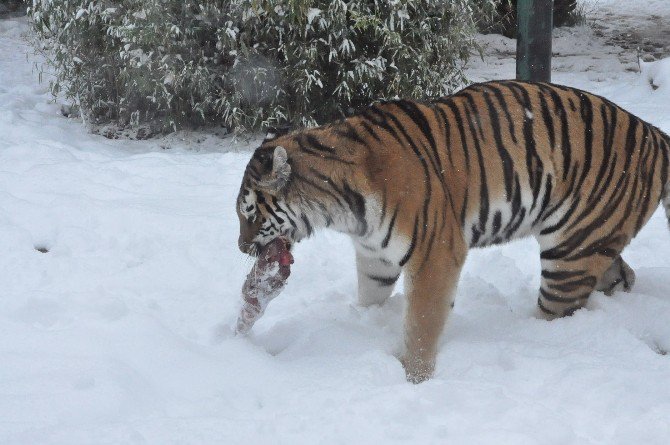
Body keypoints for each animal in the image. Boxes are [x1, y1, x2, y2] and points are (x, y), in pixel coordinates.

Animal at [238, 80, 670, 382]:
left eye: (250, 214)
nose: (242, 248)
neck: (342, 209)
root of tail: (654, 133)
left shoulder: (436, 253)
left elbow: (422, 323)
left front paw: (412, 378)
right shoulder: (374, 255)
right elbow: (371, 295)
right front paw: (363, 323)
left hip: (569, 254)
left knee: (560, 310)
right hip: (592, 239)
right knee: (621, 275)